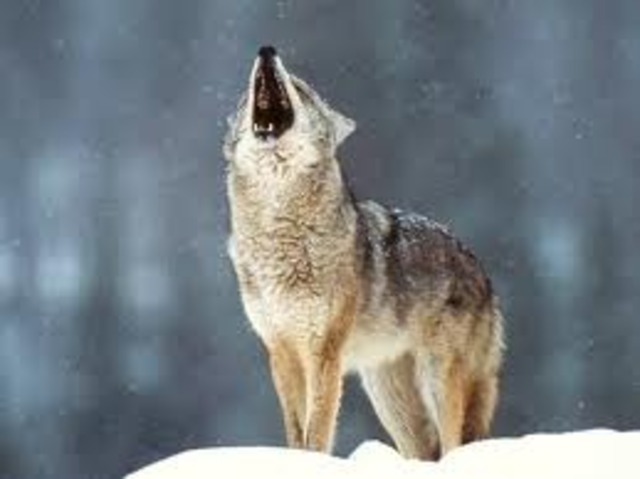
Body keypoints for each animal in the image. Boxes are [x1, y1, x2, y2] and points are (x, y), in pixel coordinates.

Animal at [224, 45, 504, 460]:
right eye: (246, 97)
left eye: (300, 89)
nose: (267, 50)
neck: (279, 234)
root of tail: (481, 270)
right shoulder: (280, 351)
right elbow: (295, 433)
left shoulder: (324, 352)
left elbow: (317, 432)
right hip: (389, 398)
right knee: (426, 451)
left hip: (439, 380)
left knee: (454, 443)